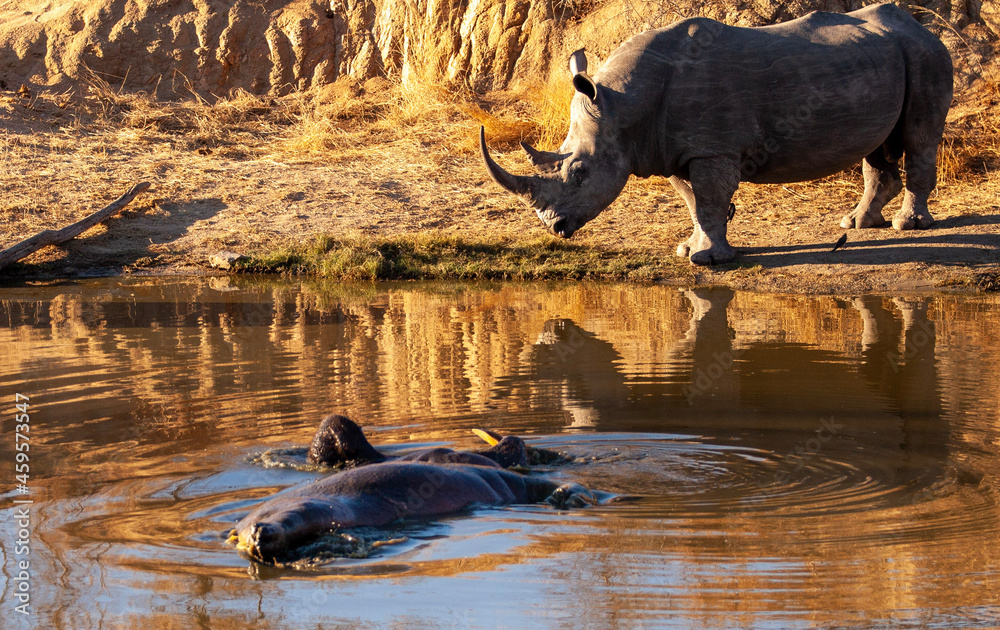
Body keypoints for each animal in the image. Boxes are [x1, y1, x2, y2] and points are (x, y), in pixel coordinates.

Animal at [480, 3, 953, 265]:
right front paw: (689, 250)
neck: (624, 107)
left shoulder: (711, 149)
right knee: (879, 146)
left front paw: (707, 261)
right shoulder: (671, 148)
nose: (554, 227)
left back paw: (908, 226)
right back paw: (857, 223)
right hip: (880, 57)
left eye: (579, 172)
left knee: (919, 137)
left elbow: (709, 198)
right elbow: (694, 201)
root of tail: (919, 25)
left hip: (926, 54)